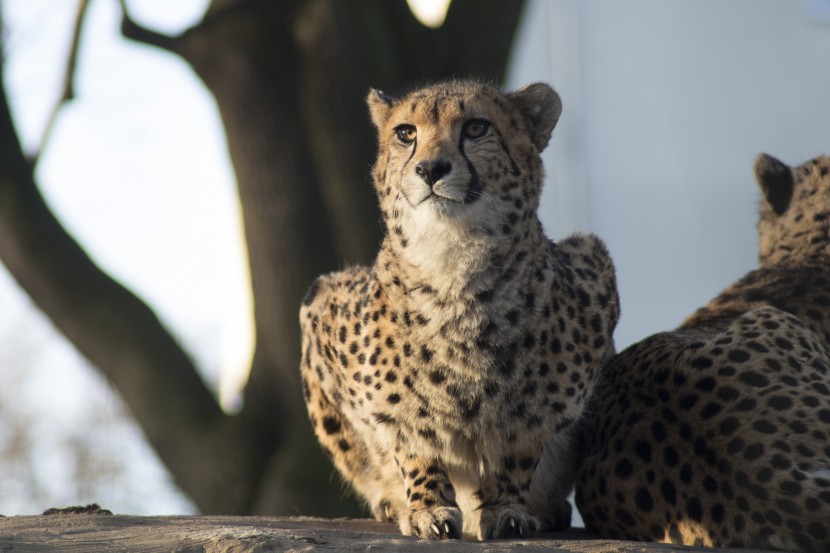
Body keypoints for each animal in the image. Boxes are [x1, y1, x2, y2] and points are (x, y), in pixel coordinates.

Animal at [302, 80, 620, 536]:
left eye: (475, 128)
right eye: (406, 133)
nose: (430, 169)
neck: (452, 260)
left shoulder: (594, 267)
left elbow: (522, 441)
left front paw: (507, 508)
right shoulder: (326, 306)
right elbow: (409, 433)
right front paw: (426, 508)